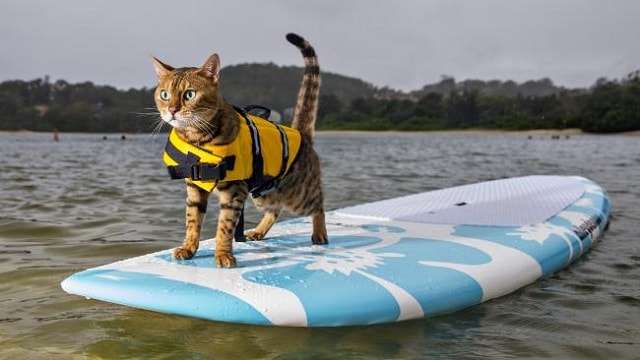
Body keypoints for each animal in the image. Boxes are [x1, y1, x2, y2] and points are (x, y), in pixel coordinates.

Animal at [152, 33, 328, 268]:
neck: (197, 138)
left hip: (298, 194)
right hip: (264, 193)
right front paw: (188, 247)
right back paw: (259, 231)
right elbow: (192, 220)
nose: (171, 110)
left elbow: (225, 226)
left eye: (189, 94)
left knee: (318, 203)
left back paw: (319, 233)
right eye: (164, 94)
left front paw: (223, 254)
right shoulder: (194, 187)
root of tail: (301, 133)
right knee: (275, 209)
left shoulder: (234, 190)